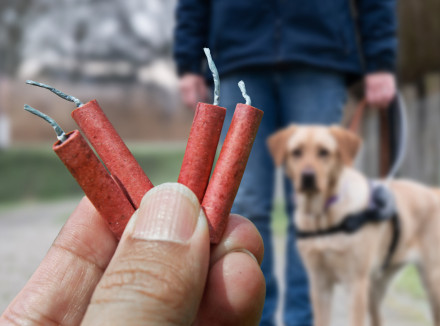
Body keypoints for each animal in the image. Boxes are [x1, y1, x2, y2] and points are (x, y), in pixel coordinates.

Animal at [266, 123, 440, 324]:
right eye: (296, 152)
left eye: (324, 152)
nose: (308, 177)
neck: (322, 216)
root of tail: (433, 191)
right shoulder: (320, 284)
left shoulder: (355, 283)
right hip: (375, 287)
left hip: (431, 280)